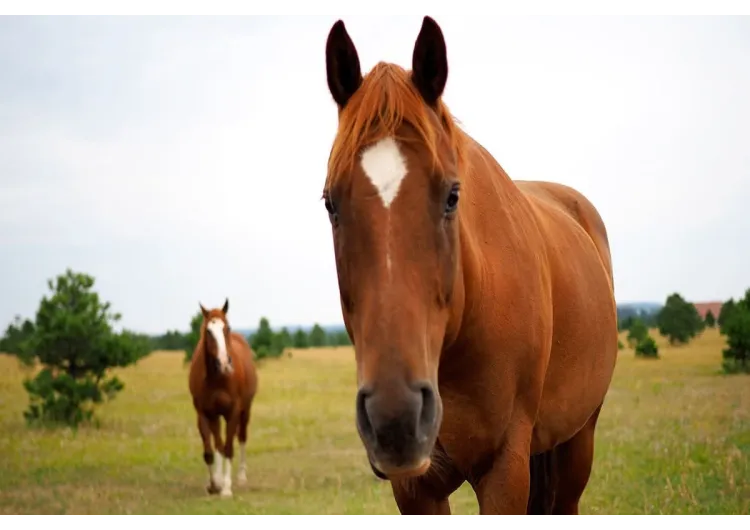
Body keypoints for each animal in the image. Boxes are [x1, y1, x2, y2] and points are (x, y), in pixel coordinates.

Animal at [188, 296, 258, 496]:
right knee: (218, 443)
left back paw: (241, 477)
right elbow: (211, 451)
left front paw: (226, 488)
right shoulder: (204, 414)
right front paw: (214, 484)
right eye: (208, 331)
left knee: (241, 437)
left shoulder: (233, 412)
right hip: (216, 416)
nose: (225, 363)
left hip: (245, 411)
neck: (217, 377)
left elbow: (228, 448)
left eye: (226, 327)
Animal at [320, 15, 620, 516]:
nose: (395, 418)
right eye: (330, 204)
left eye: (452, 196)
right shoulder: (417, 490)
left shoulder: (505, 470)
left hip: (579, 442)